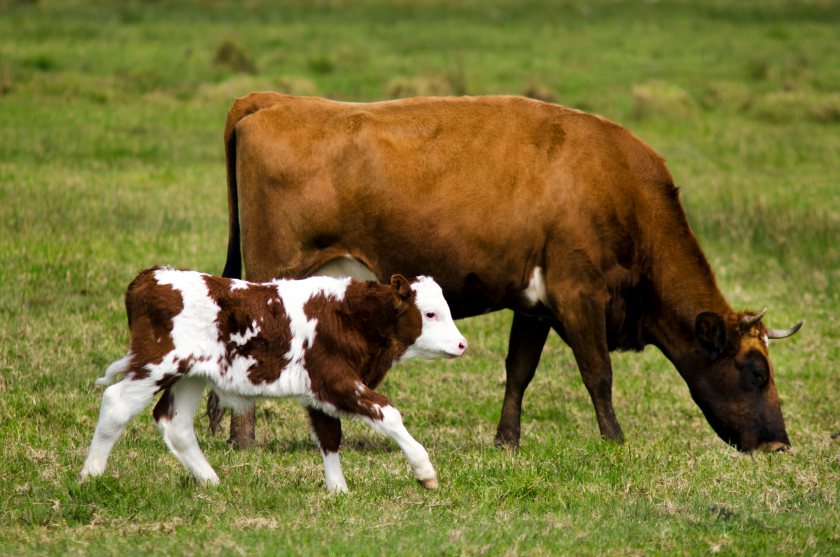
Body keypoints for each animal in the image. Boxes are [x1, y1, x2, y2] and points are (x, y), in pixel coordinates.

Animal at [80, 267, 467, 492]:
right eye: (430, 314)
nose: (462, 344)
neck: (350, 314)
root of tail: (148, 277)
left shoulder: (318, 390)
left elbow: (329, 435)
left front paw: (337, 491)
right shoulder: (335, 379)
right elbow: (387, 413)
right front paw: (424, 470)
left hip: (190, 374)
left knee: (174, 422)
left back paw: (212, 481)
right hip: (157, 364)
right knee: (116, 403)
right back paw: (90, 477)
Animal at [212, 93, 802, 453]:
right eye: (757, 371)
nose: (779, 443)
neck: (620, 188)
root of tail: (275, 100)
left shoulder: (534, 303)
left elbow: (519, 371)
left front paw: (506, 441)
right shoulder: (578, 293)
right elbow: (599, 373)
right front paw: (615, 441)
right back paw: (244, 439)